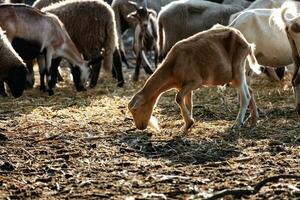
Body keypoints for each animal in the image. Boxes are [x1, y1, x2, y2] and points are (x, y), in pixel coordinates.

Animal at [127, 24, 262, 133]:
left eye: (137, 110)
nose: (140, 127)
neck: (172, 67)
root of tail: (247, 43)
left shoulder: (195, 81)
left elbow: (178, 98)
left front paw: (189, 121)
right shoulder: (183, 86)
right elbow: (188, 103)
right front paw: (187, 125)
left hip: (238, 68)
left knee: (245, 95)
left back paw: (238, 123)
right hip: (234, 75)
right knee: (250, 91)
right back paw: (254, 120)